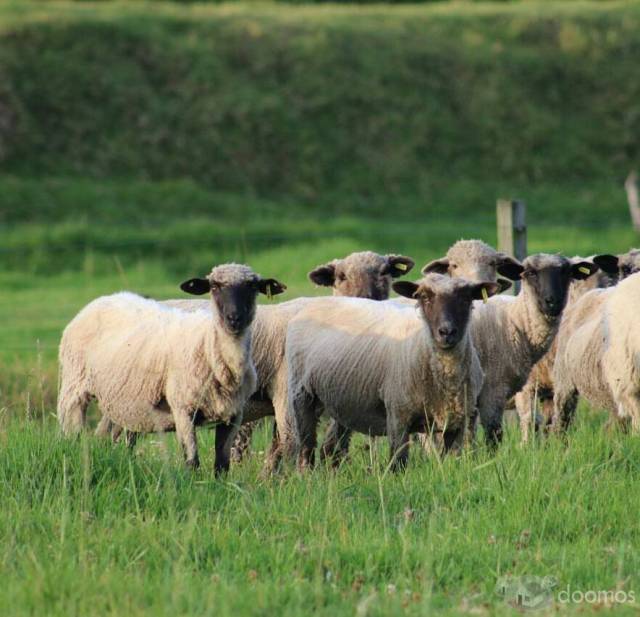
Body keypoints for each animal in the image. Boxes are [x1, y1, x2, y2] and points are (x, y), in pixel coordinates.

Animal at [57, 264, 288, 472]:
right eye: (214, 286)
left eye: (252, 287)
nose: (234, 318)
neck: (209, 345)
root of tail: (101, 300)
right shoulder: (183, 408)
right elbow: (192, 462)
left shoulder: (233, 415)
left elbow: (222, 465)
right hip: (73, 387)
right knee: (72, 433)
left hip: (121, 401)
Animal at [284, 272, 500, 470]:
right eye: (424, 297)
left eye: (466, 298)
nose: (447, 332)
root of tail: (312, 303)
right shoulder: (398, 415)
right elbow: (399, 463)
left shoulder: (457, 422)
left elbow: (452, 462)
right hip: (301, 395)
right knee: (306, 449)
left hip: (341, 402)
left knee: (331, 447)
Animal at [470, 253, 600, 446]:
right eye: (530, 273)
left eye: (566, 272)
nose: (553, 301)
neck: (515, 319)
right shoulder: (524, 389)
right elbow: (531, 421)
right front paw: (526, 448)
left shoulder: (554, 391)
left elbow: (555, 423)